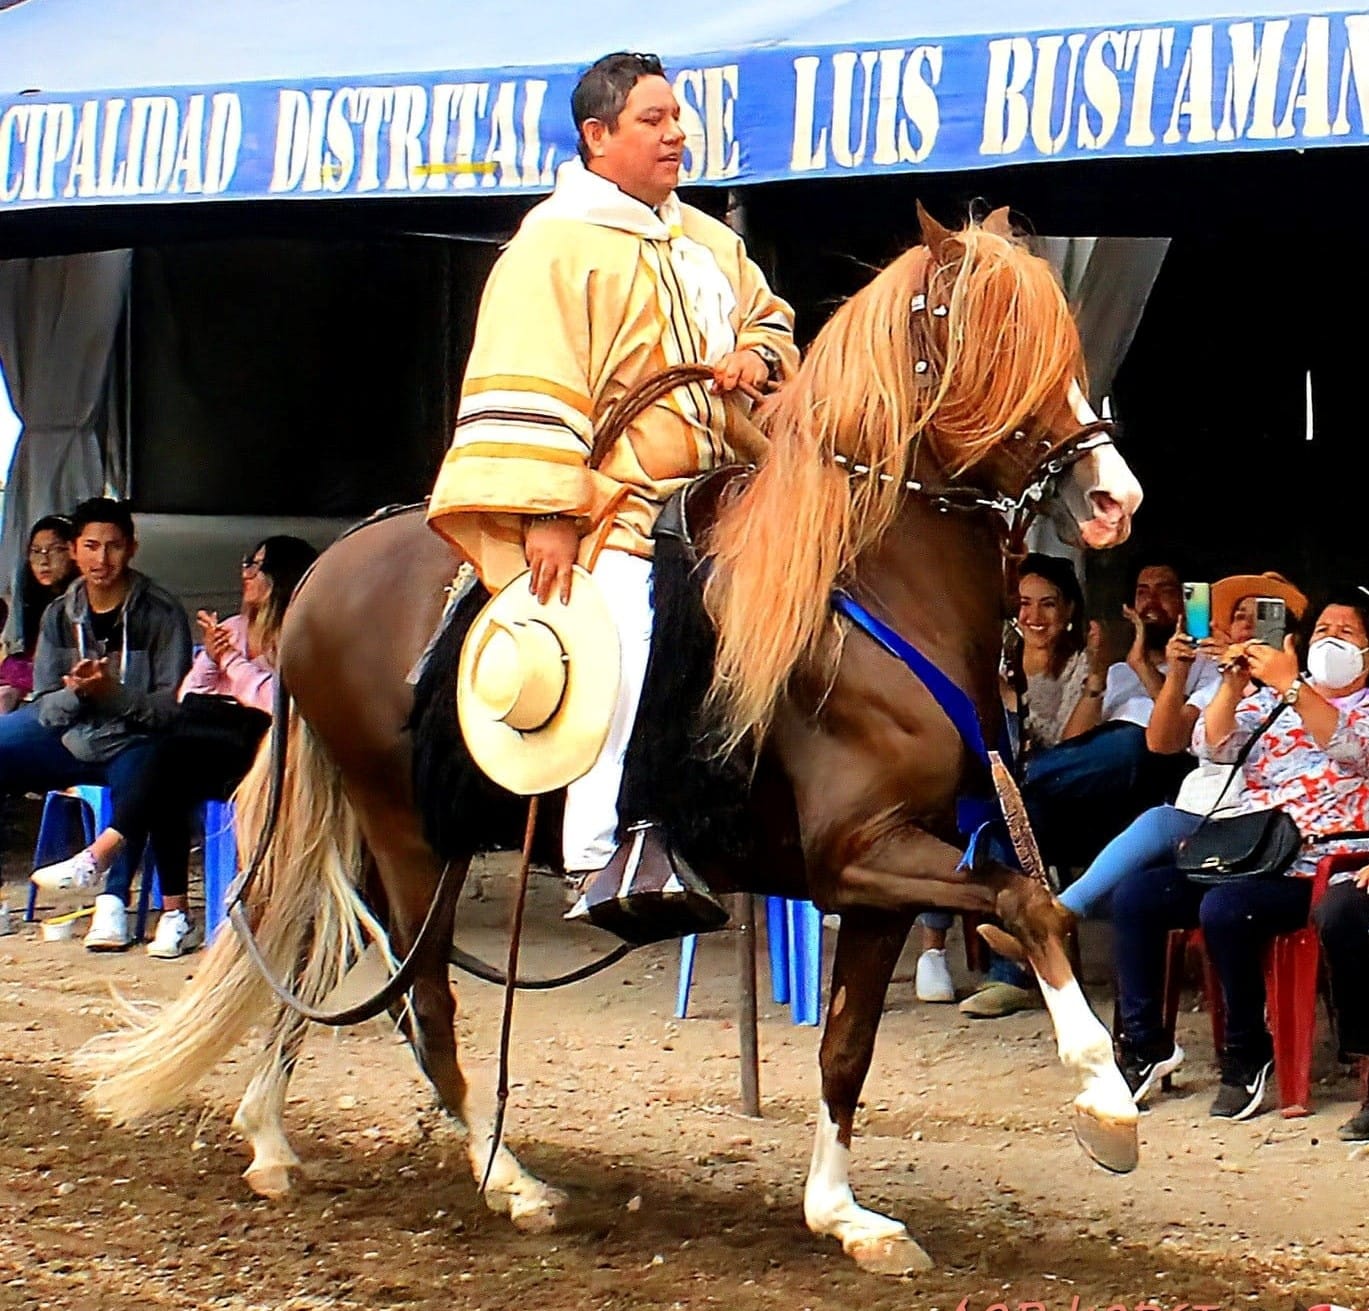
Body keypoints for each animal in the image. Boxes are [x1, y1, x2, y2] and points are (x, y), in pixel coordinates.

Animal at [88, 210, 1144, 1275]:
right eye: (990, 343)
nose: (1111, 499)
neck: (862, 590)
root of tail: (328, 568)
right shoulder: (855, 852)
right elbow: (1029, 903)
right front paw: (1103, 1100)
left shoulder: (885, 874)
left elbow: (848, 1045)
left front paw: (843, 1214)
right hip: (405, 834)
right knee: (419, 996)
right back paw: (509, 1181)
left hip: (376, 827)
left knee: (310, 949)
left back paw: (270, 1138)